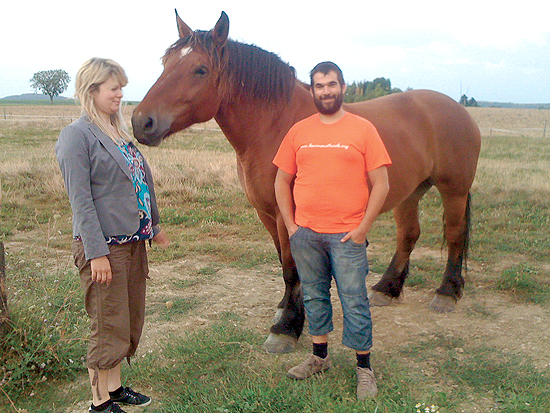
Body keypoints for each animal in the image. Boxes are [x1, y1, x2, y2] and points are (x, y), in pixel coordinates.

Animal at [132, 11, 480, 352]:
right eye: (166, 63)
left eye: (200, 69)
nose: (141, 122)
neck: (275, 127)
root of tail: (456, 108)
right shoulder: (268, 214)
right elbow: (285, 265)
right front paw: (286, 311)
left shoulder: (288, 215)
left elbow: (292, 268)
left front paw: (286, 327)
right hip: (409, 193)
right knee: (408, 235)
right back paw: (387, 288)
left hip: (454, 191)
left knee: (454, 235)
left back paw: (447, 292)